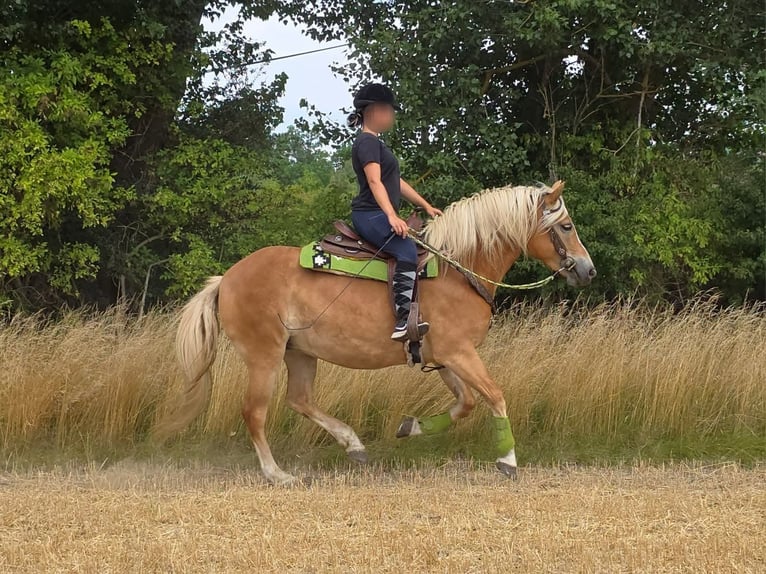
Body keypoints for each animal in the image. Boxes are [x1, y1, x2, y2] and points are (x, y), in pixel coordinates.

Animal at [156, 181, 596, 484]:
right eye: (566, 226)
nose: (588, 270)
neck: (458, 270)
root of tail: (226, 278)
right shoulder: (459, 352)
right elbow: (494, 396)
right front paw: (507, 461)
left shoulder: (445, 357)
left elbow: (467, 402)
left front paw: (412, 427)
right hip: (264, 355)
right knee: (255, 412)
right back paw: (276, 474)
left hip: (300, 352)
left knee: (300, 400)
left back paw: (353, 444)